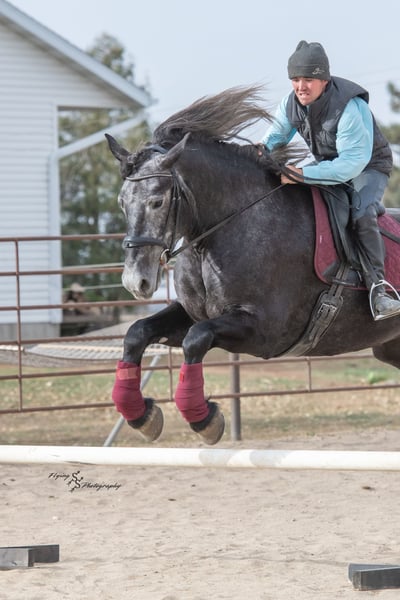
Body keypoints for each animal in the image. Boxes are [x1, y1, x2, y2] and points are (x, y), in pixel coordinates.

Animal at [106, 85, 400, 445]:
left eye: (157, 201)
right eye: (122, 202)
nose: (136, 282)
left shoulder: (265, 332)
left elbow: (196, 339)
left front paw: (204, 419)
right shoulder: (194, 313)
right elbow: (138, 332)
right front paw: (140, 414)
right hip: (391, 348)